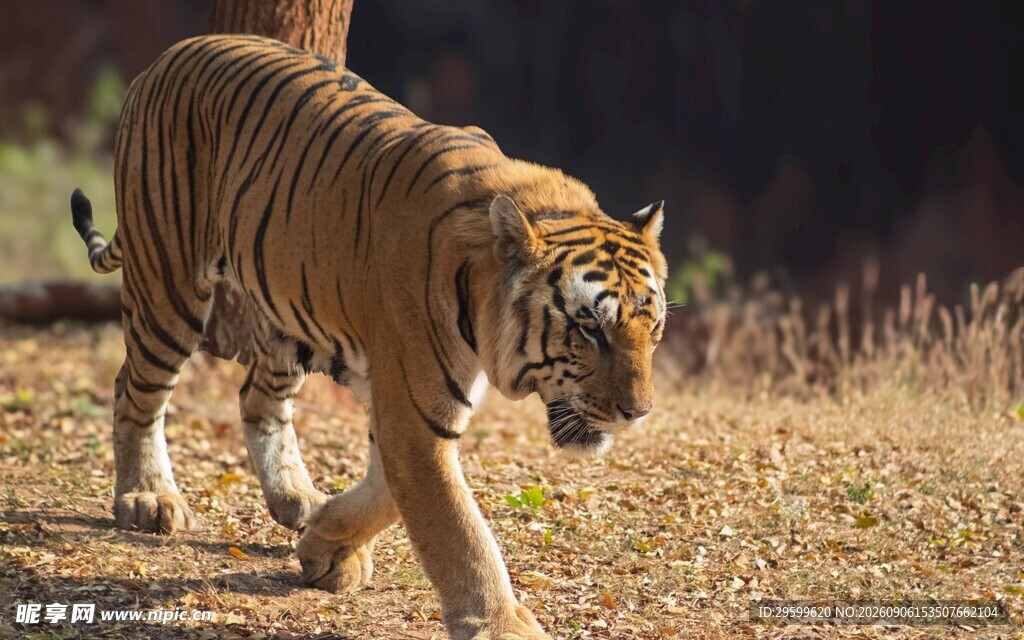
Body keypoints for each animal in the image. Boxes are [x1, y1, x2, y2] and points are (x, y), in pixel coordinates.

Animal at [70, 34, 667, 640]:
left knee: (257, 400)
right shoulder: (415, 413)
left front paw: (325, 544)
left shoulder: (408, 404)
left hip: (287, 317)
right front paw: (502, 625)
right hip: (168, 282)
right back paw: (149, 498)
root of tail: (172, 52)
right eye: (590, 328)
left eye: (654, 327)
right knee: (135, 391)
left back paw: (296, 497)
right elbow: (458, 527)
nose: (639, 412)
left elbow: (387, 492)